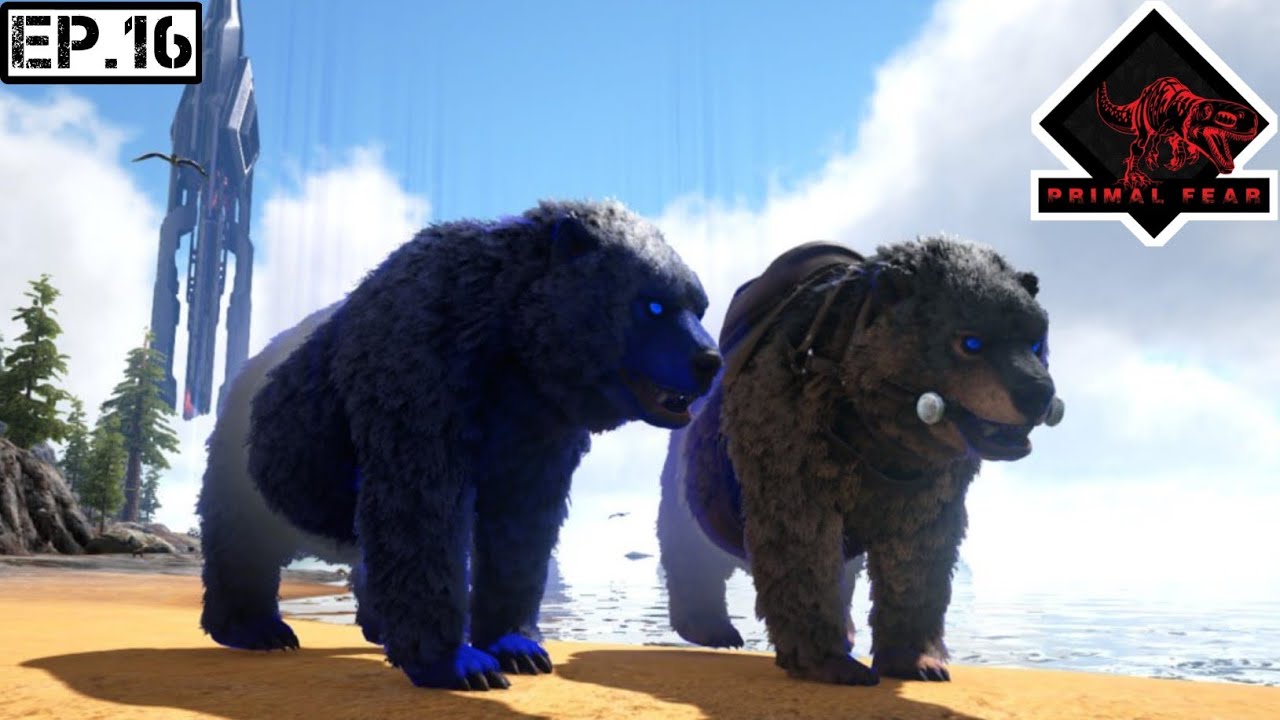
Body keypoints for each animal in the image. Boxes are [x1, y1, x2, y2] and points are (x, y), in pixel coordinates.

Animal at [197, 199, 722, 691]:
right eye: (653, 304)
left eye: (698, 305)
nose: (709, 360)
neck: (510, 346)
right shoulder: (419, 373)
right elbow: (420, 511)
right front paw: (458, 664)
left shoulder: (539, 428)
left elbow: (521, 527)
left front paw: (517, 647)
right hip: (256, 458)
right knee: (243, 537)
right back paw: (258, 630)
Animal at [656, 237, 1063, 686]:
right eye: (970, 342)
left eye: (1036, 341)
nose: (1038, 393)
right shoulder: (791, 454)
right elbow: (799, 550)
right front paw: (828, 663)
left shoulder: (931, 491)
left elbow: (917, 565)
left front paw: (918, 661)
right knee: (690, 547)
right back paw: (713, 631)